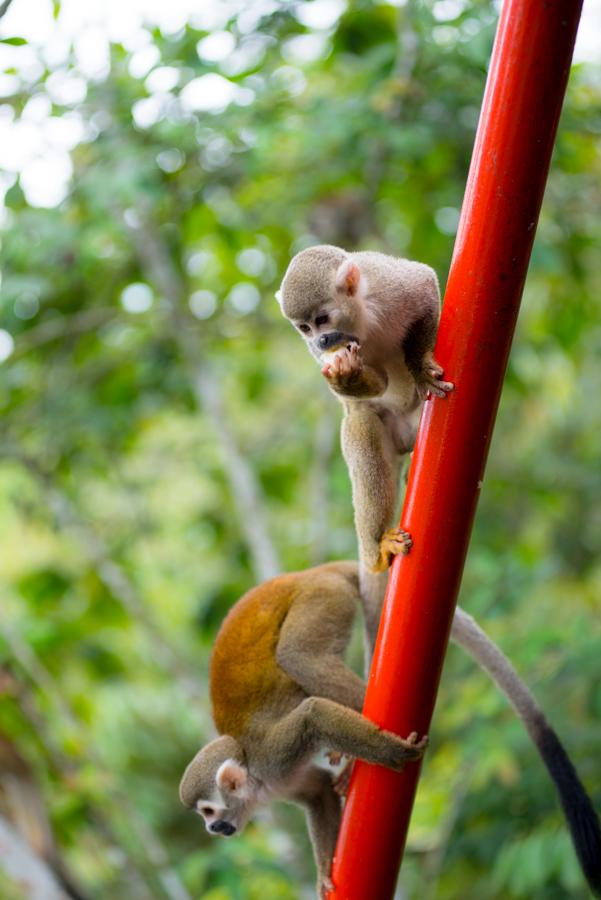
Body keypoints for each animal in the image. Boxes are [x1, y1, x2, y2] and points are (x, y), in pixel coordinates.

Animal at [179, 568, 600, 896]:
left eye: (209, 811)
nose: (212, 828)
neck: (257, 780)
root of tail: (307, 573)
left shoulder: (273, 757)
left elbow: (312, 716)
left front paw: (389, 752)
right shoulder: (285, 781)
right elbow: (317, 795)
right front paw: (325, 872)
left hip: (322, 598)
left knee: (298, 656)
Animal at [278, 244, 452, 652]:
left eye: (322, 318)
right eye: (304, 328)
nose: (321, 342)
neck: (361, 316)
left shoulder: (388, 284)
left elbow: (424, 285)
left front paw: (419, 366)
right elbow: (374, 384)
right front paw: (347, 377)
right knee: (362, 423)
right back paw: (377, 550)